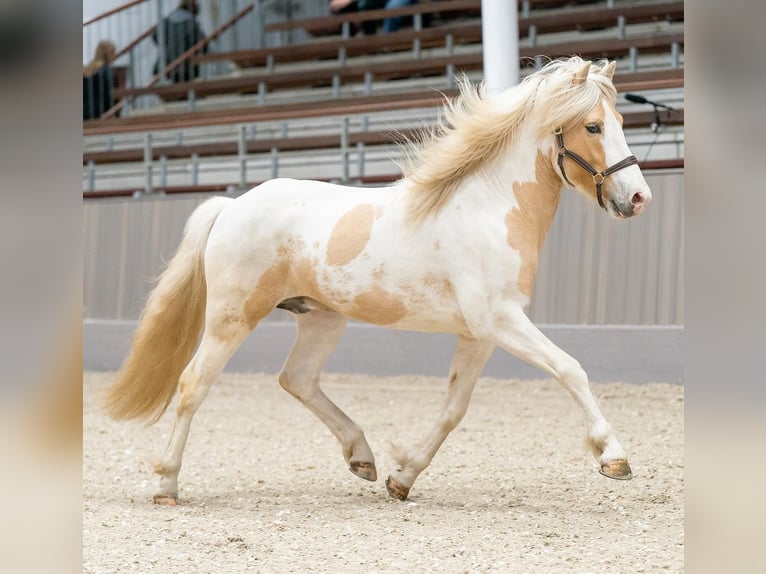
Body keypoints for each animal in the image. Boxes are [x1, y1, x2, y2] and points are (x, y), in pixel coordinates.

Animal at [103, 57, 656, 508]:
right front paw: (613, 457)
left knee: (296, 379)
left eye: (622, 123)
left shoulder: (480, 334)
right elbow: (570, 369)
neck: (490, 208)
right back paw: (167, 484)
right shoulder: (499, 320)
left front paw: (402, 478)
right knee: (193, 385)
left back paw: (362, 458)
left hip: (321, 319)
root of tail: (232, 205)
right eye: (593, 126)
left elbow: (453, 409)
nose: (639, 198)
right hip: (231, 317)